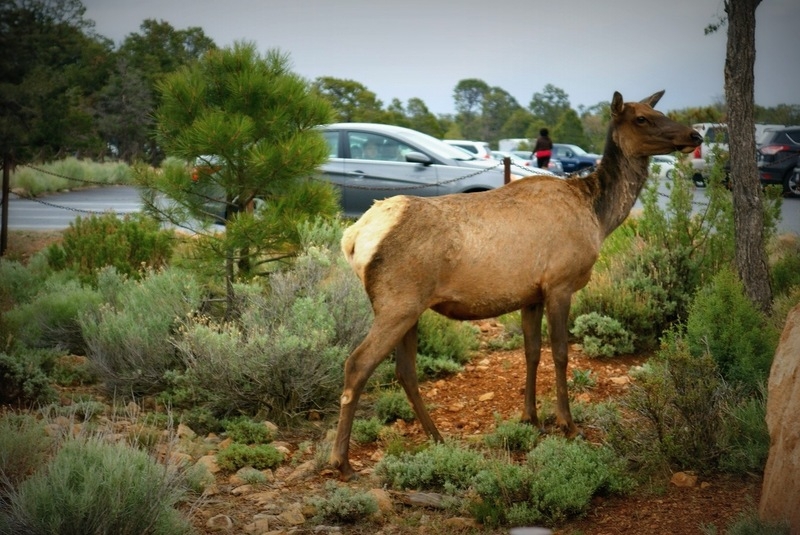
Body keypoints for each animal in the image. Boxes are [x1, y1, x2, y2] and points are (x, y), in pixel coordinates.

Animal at [328, 90, 704, 480]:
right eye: (642, 119)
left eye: (657, 111)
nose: (694, 135)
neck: (599, 217)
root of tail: (353, 237)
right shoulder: (559, 283)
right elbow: (561, 353)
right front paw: (567, 424)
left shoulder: (531, 295)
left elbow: (531, 351)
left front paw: (531, 417)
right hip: (397, 303)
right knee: (357, 364)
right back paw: (342, 461)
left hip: (410, 308)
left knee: (405, 371)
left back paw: (437, 438)